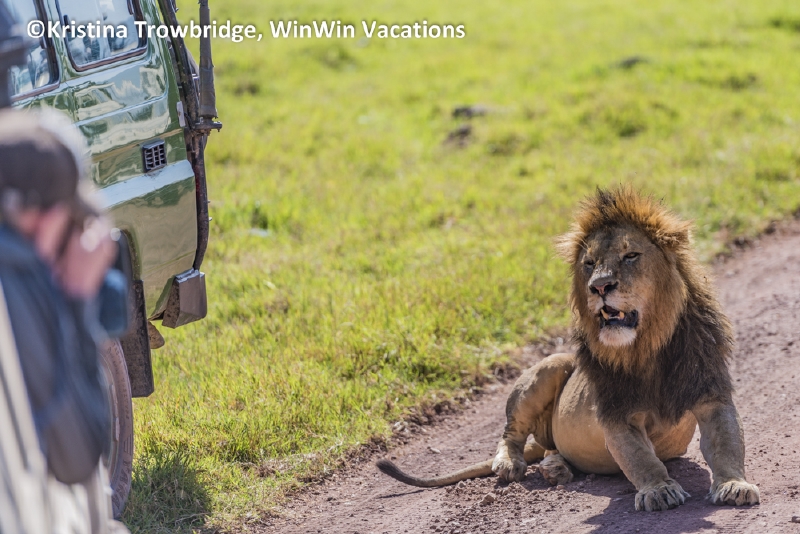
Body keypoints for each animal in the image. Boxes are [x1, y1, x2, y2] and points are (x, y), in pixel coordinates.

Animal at [376, 186, 760, 511]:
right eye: (589, 264)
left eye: (631, 255)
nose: (599, 287)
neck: (647, 347)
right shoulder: (616, 413)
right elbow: (641, 458)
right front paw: (659, 490)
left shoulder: (711, 394)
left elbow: (727, 444)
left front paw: (734, 485)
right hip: (551, 365)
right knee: (513, 433)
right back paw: (511, 463)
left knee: (549, 449)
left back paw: (555, 468)